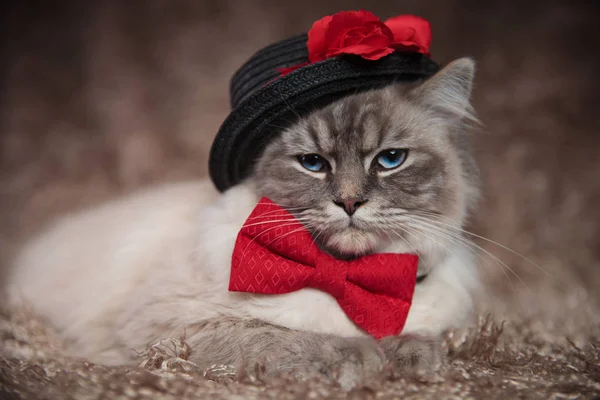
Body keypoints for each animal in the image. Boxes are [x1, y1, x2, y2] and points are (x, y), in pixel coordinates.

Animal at [3, 57, 482, 390]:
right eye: (312, 164)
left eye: (390, 160)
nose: (349, 201)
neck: (343, 275)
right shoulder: (176, 329)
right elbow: (280, 337)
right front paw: (359, 358)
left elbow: (416, 336)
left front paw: (416, 358)